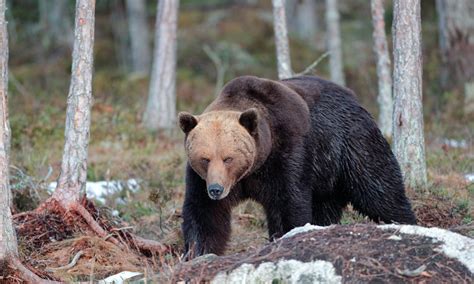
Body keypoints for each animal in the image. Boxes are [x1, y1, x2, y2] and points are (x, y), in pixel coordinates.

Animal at [180, 75, 416, 255]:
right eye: (205, 158)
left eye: (228, 158)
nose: (216, 189)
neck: (254, 167)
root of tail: (352, 96)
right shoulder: (201, 179)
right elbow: (204, 213)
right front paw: (197, 252)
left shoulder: (288, 153)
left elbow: (288, 203)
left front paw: (286, 237)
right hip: (326, 177)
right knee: (326, 207)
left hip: (351, 145)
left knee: (379, 189)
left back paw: (405, 222)